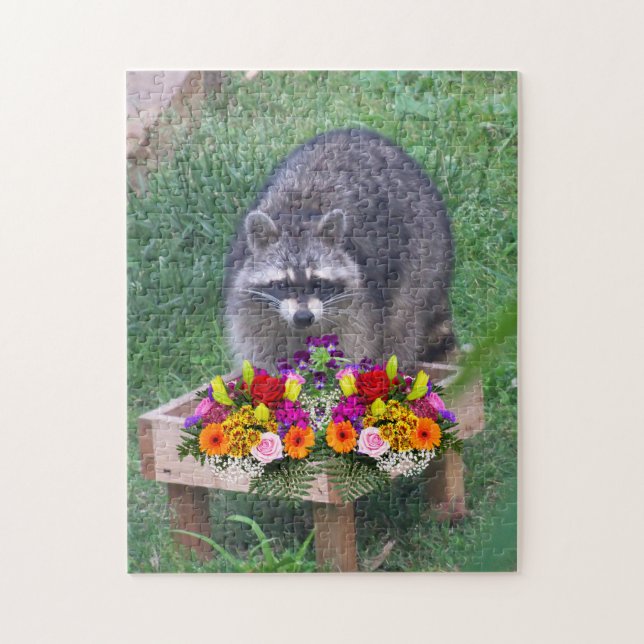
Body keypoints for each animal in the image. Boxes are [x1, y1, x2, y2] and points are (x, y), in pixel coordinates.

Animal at [223, 128, 455, 370]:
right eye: (282, 284)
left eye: (318, 282)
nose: (303, 317)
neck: (297, 220)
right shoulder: (249, 302)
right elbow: (261, 348)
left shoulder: (360, 300)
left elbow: (357, 343)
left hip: (424, 258)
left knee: (403, 321)